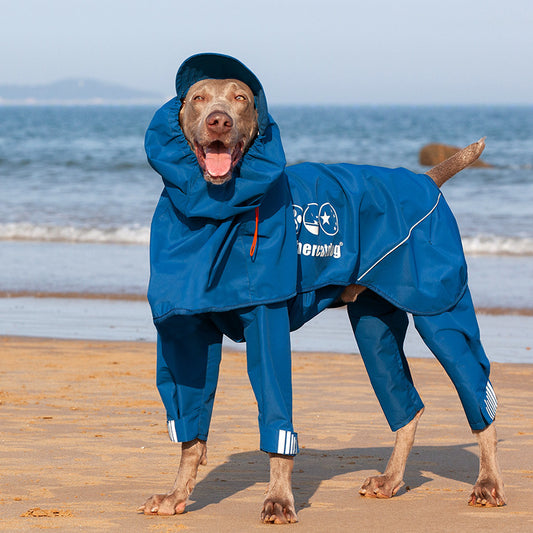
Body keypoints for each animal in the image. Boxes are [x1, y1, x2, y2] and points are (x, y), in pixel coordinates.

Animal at [139, 55, 504, 524]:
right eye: (199, 98)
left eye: (240, 97)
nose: (219, 121)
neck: (213, 214)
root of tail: (425, 180)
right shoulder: (183, 337)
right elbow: (189, 434)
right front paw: (176, 495)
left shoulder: (267, 321)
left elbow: (277, 419)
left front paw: (279, 499)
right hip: (374, 325)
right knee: (408, 406)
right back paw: (390, 481)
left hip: (440, 309)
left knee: (478, 395)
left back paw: (488, 483)